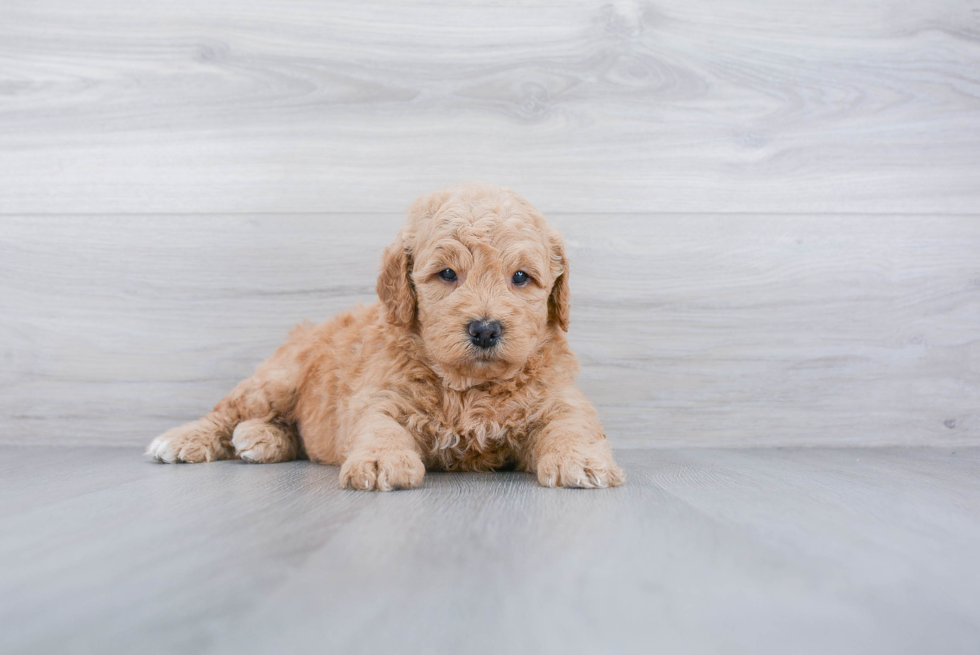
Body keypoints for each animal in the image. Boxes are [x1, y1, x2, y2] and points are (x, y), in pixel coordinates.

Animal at [149, 182, 624, 490]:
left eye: (521, 277)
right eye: (447, 274)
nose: (485, 329)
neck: (468, 387)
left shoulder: (558, 398)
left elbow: (572, 425)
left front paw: (581, 460)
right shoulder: (379, 395)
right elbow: (380, 427)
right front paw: (381, 461)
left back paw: (262, 439)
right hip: (277, 379)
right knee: (229, 410)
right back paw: (185, 439)